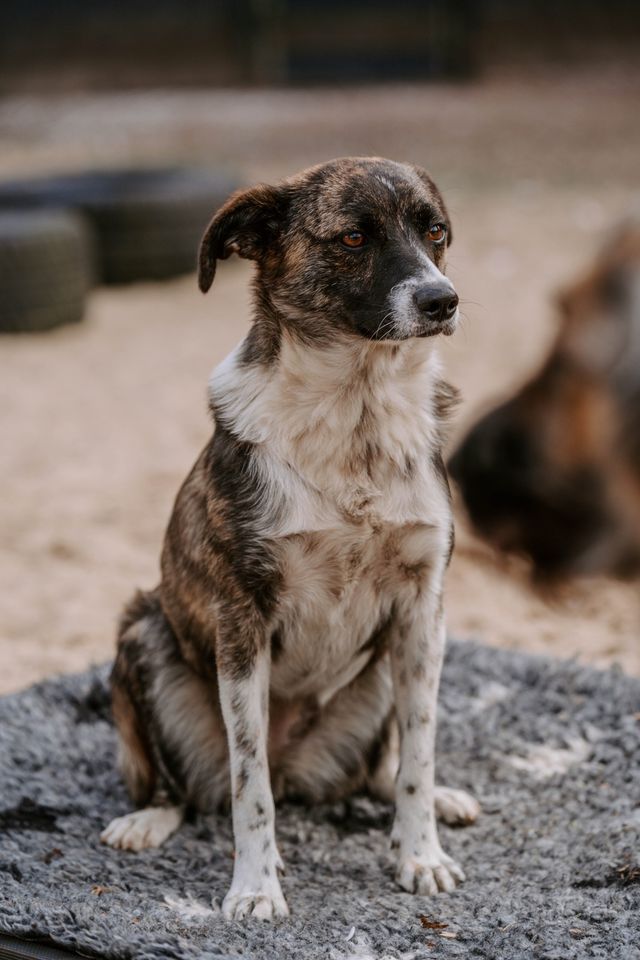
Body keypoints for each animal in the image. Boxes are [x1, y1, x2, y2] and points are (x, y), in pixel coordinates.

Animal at [101, 159, 480, 924]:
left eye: (434, 231)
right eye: (354, 236)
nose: (443, 300)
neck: (357, 413)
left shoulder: (423, 611)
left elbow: (419, 753)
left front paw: (420, 853)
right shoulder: (242, 618)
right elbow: (250, 785)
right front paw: (255, 886)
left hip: (381, 675)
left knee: (380, 771)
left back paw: (435, 799)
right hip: (143, 635)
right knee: (191, 788)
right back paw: (148, 819)